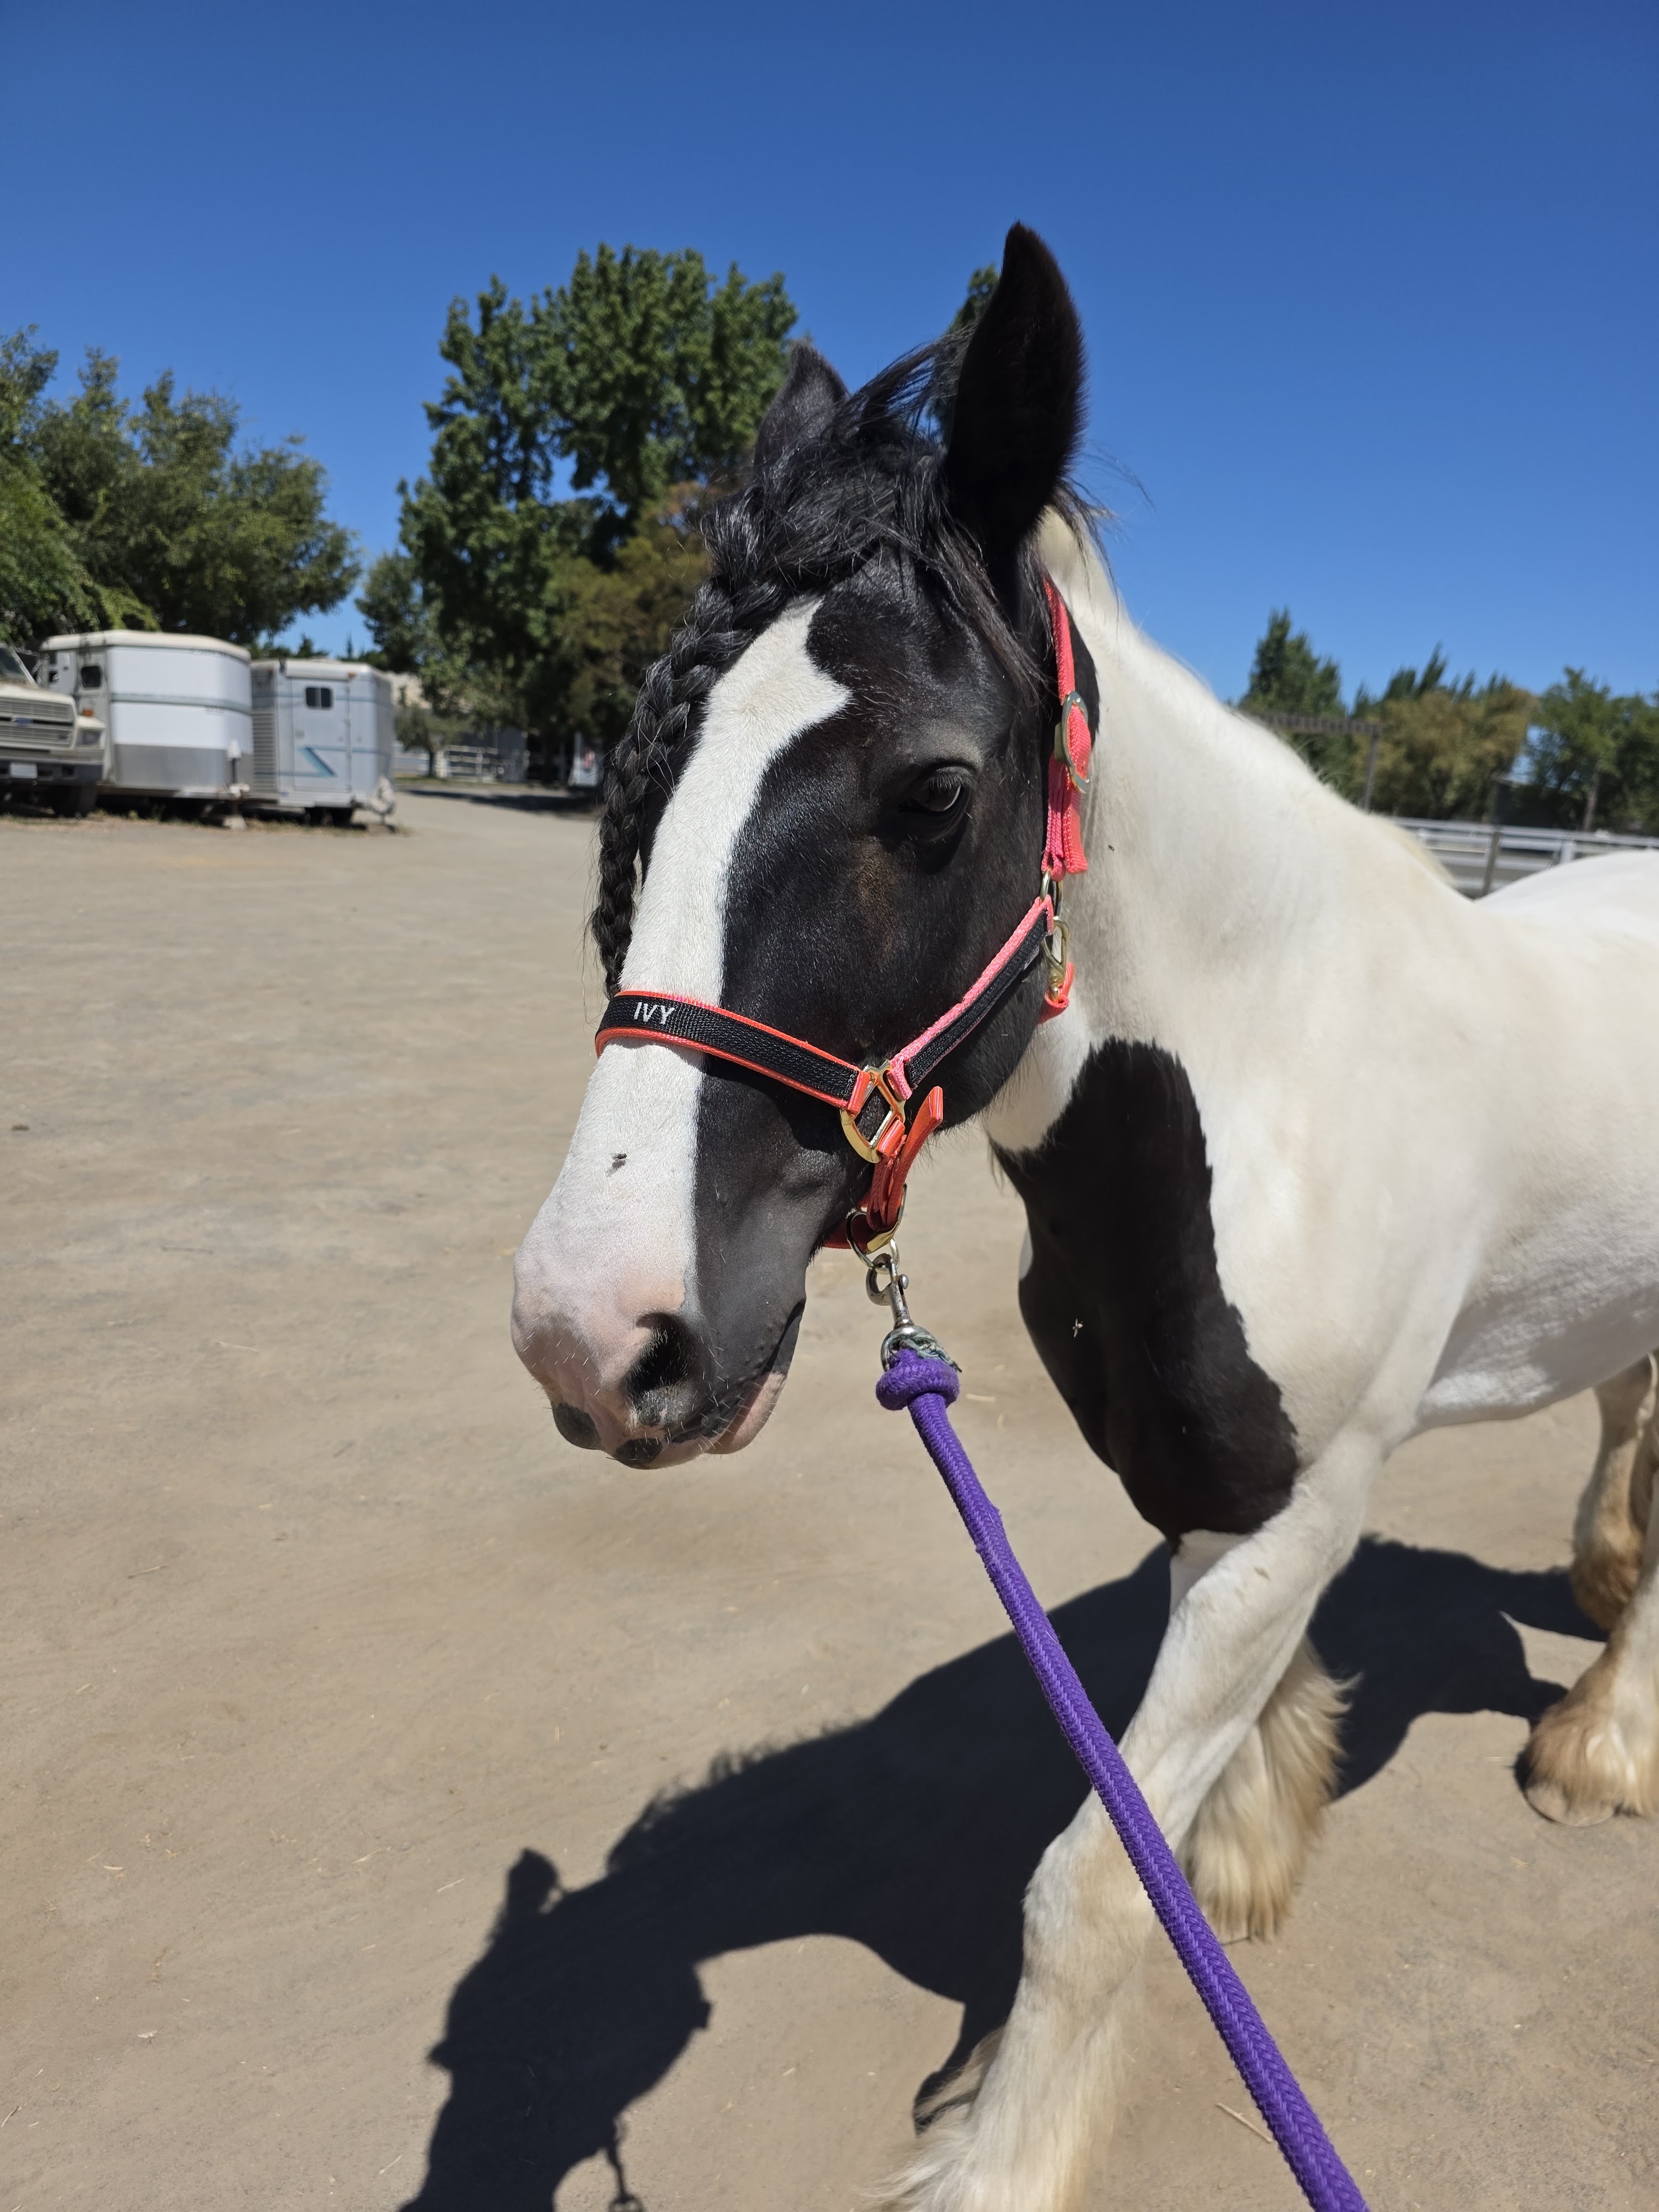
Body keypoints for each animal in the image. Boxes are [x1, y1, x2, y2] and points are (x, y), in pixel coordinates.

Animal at [511, 224, 1659, 2210]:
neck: (1275, 1090)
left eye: (936, 791)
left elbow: (1089, 1888)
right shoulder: (1212, 1486)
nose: (593, 1336)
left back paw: (1597, 1744)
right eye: (640, 774)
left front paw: (996, 2159)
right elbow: (1208, 1781)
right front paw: (1253, 1855)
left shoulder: (1297, 1507)